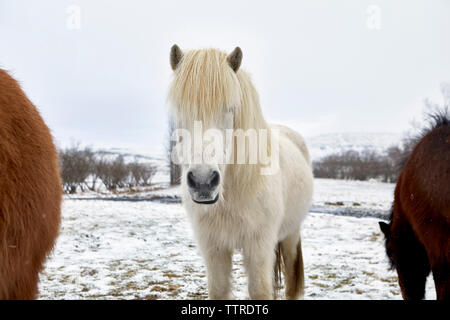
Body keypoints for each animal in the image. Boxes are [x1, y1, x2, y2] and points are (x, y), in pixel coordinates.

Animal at [168, 45, 312, 300]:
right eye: (180, 110)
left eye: (230, 109)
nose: (203, 182)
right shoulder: (214, 249)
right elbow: (218, 290)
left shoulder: (259, 248)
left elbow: (260, 291)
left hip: (291, 235)